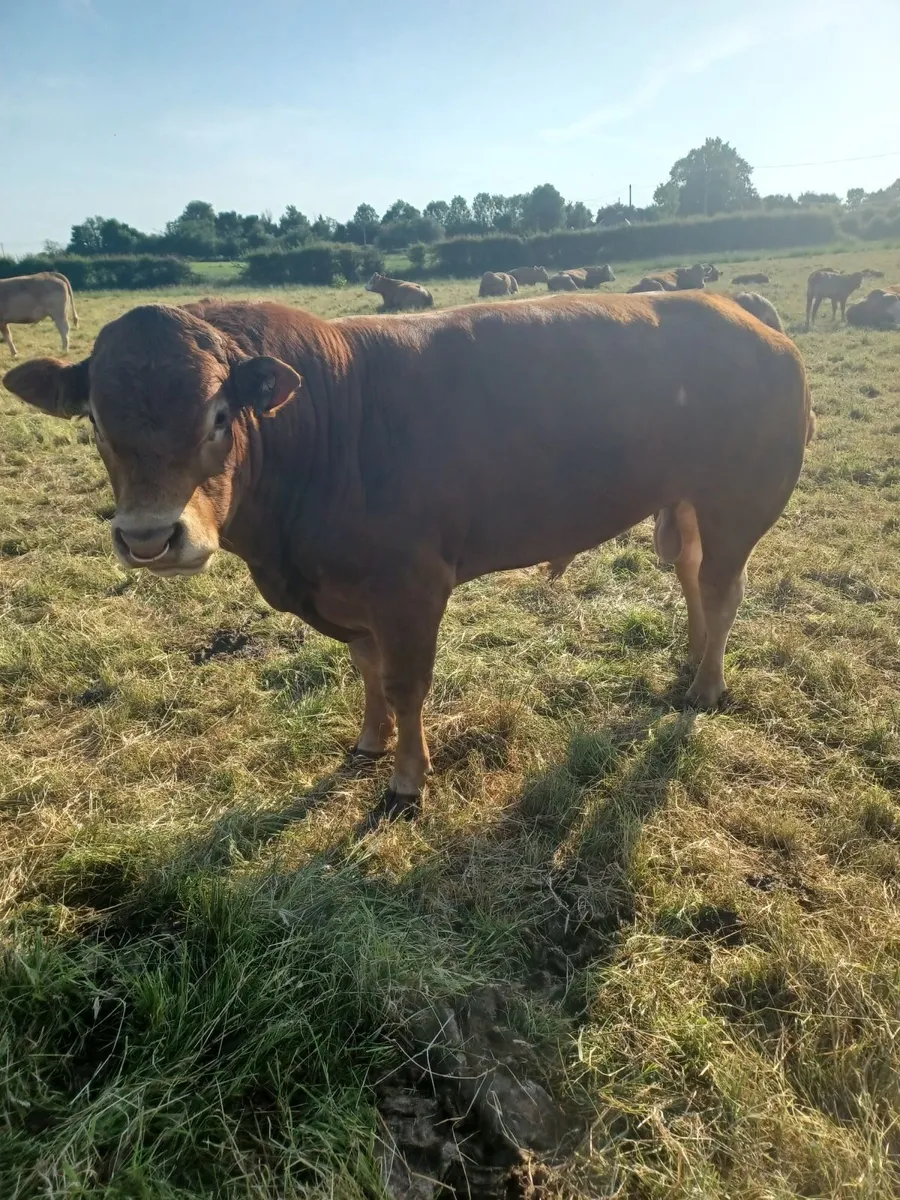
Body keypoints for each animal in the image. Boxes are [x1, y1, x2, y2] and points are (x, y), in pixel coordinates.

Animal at [4, 293, 812, 813]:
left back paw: (706, 686)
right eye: (95, 421)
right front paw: (369, 742)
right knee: (692, 578)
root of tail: (748, 314)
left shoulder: (411, 588)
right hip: (687, 504)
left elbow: (405, 683)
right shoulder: (349, 592)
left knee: (722, 590)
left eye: (220, 413)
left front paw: (406, 780)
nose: (148, 536)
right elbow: (366, 670)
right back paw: (691, 659)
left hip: (737, 503)